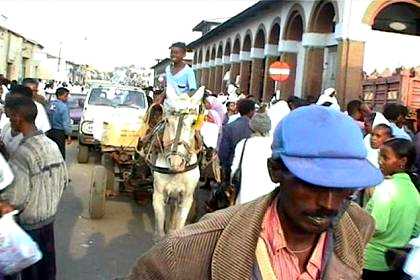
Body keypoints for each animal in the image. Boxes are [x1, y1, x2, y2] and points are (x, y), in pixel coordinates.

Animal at [151, 86, 205, 241]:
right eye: (167, 121)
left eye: (193, 122)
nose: (176, 162)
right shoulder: (158, 196)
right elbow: (160, 233)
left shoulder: (186, 199)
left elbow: (178, 227)